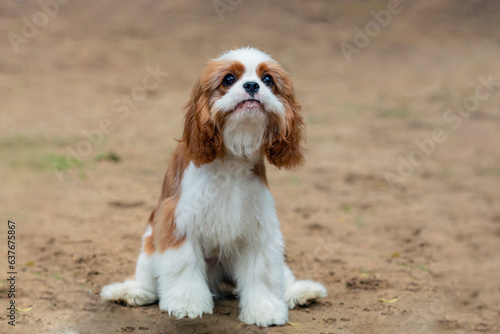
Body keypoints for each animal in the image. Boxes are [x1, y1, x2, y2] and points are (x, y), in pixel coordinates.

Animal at [101, 47, 328, 326]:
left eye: (268, 80)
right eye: (229, 79)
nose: (252, 85)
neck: (232, 158)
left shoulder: (259, 229)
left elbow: (262, 272)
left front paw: (264, 309)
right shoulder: (178, 221)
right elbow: (184, 267)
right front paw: (187, 305)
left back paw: (301, 291)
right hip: (148, 245)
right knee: (147, 279)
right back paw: (132, 292)